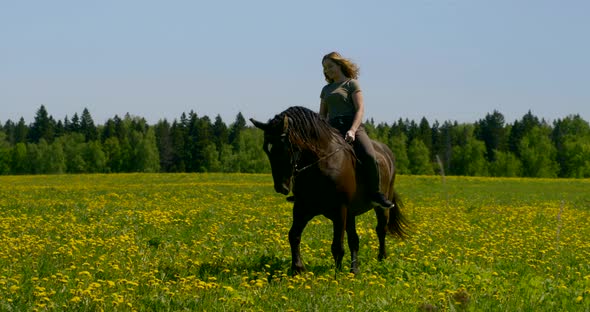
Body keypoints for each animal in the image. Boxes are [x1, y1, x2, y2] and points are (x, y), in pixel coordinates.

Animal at [250, 106, 408, 272]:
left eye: (283, 147)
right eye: (267, 150)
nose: (281, 187)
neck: (321, 162)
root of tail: (387, 152)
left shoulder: (339, 209)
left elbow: (337, 246)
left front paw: (336, 275)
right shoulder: (303, 207)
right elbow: (294, 235)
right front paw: (297, 268)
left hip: (380, 207)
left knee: (381, 230)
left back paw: (381, 259)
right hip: (350, 214)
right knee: (354, 239)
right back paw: (354, 270)